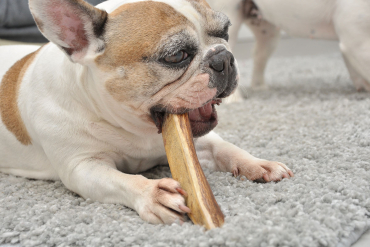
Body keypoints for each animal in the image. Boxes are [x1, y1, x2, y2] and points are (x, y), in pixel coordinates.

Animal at [0, 0, 294, 224]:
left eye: (225, 32)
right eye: (176, 56)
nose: (224, 57)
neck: (133, 127)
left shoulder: (198, 141)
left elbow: (226, 148)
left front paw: (256, 163)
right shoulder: (82, 167)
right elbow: (119, 180)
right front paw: (152, 193)